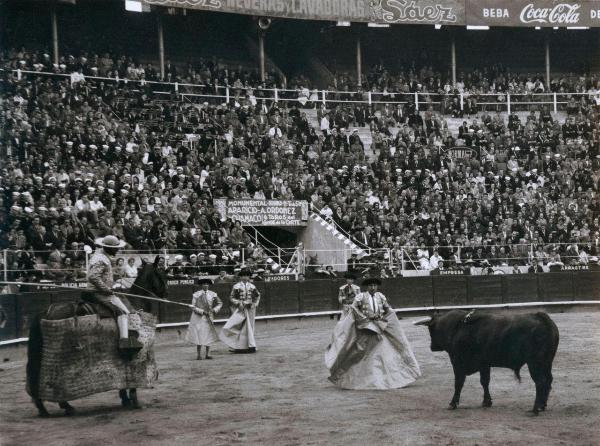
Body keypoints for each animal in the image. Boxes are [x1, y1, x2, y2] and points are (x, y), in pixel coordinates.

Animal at [25, 260, 166, 416]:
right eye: (161, 273)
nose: (166, 293)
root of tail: (45, 312)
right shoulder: (135, 353)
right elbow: (132, 378)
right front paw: (134, 401)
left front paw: (125, 399)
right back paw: (64, 406)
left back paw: (46, 408)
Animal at [418, 308, 556, 412]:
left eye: (430, 329)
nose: (432, 347)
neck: (457, 327)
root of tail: (541, 317)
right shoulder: (484, 364)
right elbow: (484, 381)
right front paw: (487, 402)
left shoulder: (458, 363)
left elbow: (458, 383)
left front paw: (453, 404)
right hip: (547, 362)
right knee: (548, 380)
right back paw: (543, 405)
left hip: (535, 363)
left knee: (540, 381)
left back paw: (535, 409)